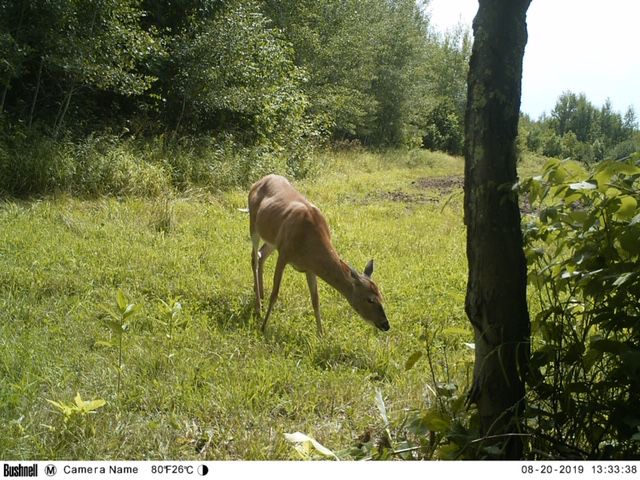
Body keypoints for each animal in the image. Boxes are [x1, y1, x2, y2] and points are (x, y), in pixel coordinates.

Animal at [249, 174, 390, 336]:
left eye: (381, 296)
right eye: (370, 299)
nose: (386, 325)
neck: (308, 240)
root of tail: (259, 181)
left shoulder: (310, 268)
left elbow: (315, 300)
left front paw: (321, 334)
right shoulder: (284, 254)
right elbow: (275, 293)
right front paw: (263, 327)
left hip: (271, 239)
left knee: (261, 255)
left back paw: (260, 297)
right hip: (253, 226)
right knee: (254, 258)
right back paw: (258, 307)